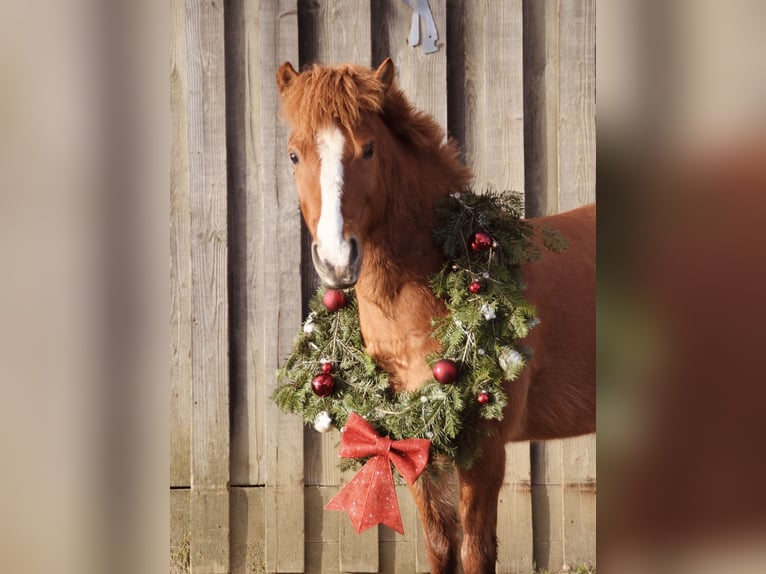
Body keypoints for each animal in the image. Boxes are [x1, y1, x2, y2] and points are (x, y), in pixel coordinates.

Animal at [276, 58, 595, 574]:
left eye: (368, 149)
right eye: (293, 155)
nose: (336, 260)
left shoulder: (482, 451)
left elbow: (474, 551)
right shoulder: (414, 439)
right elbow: (441, 545)